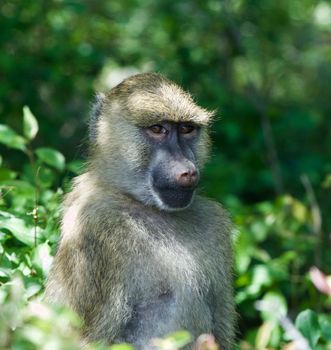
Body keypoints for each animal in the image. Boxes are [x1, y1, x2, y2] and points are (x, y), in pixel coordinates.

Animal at [45, 72, 237, 348]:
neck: (141, 203)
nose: (187, 171)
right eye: (157, 129)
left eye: (186, 129)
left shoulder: (215, 222)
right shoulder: (93, 230)